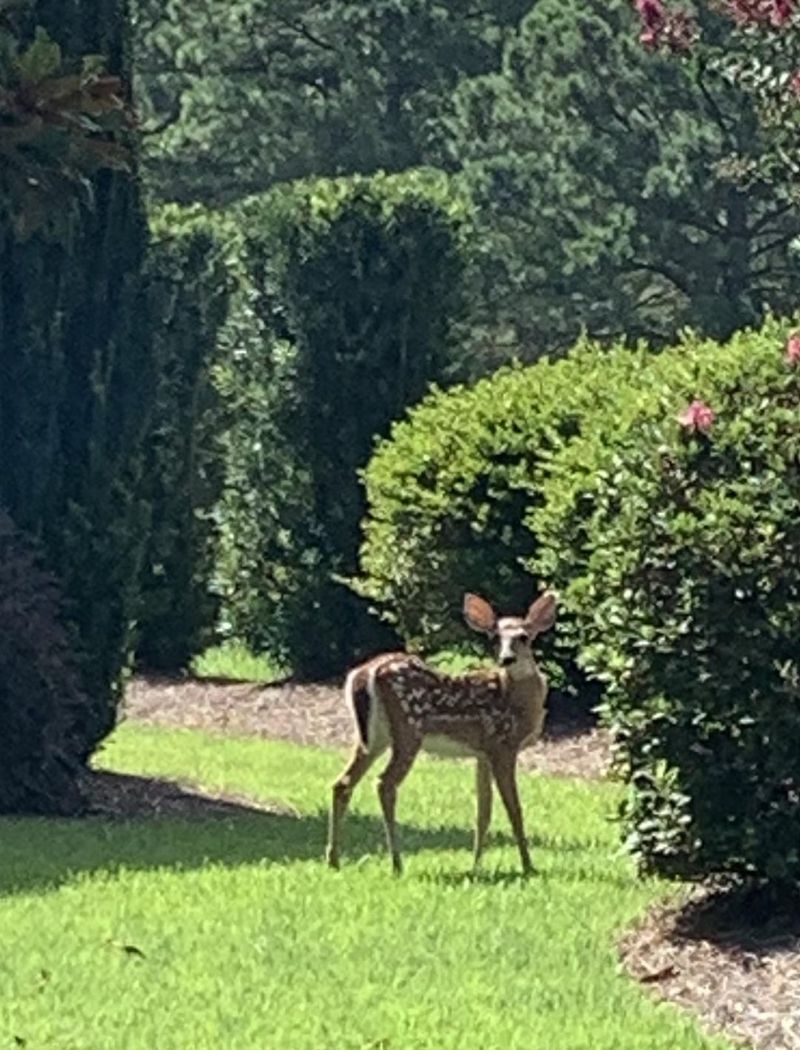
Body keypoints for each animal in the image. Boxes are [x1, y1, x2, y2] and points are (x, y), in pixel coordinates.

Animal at [323, 592, 554, 877]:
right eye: (495, 638)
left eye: (524, 636)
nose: (506, 659)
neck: (517, 699)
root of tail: (365, 672)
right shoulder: (503, 745)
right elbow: (514, 809)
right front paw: (528, 866)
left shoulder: (482, 753)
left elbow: (483, 810)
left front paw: (476, 866)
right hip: (409, 729)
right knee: (385, 784)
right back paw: (396, 863)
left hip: (373, 737)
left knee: (342, 783)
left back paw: (333, 860)